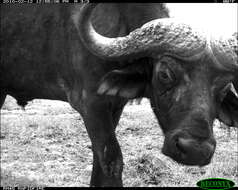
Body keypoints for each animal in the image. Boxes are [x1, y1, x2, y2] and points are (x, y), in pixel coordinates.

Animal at [0, 2, 238, 187]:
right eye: (164, 74)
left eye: (225, 87)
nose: (195, 150)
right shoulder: (90, 104)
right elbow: (112, 159)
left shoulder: (115, 105)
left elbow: (99, 160)